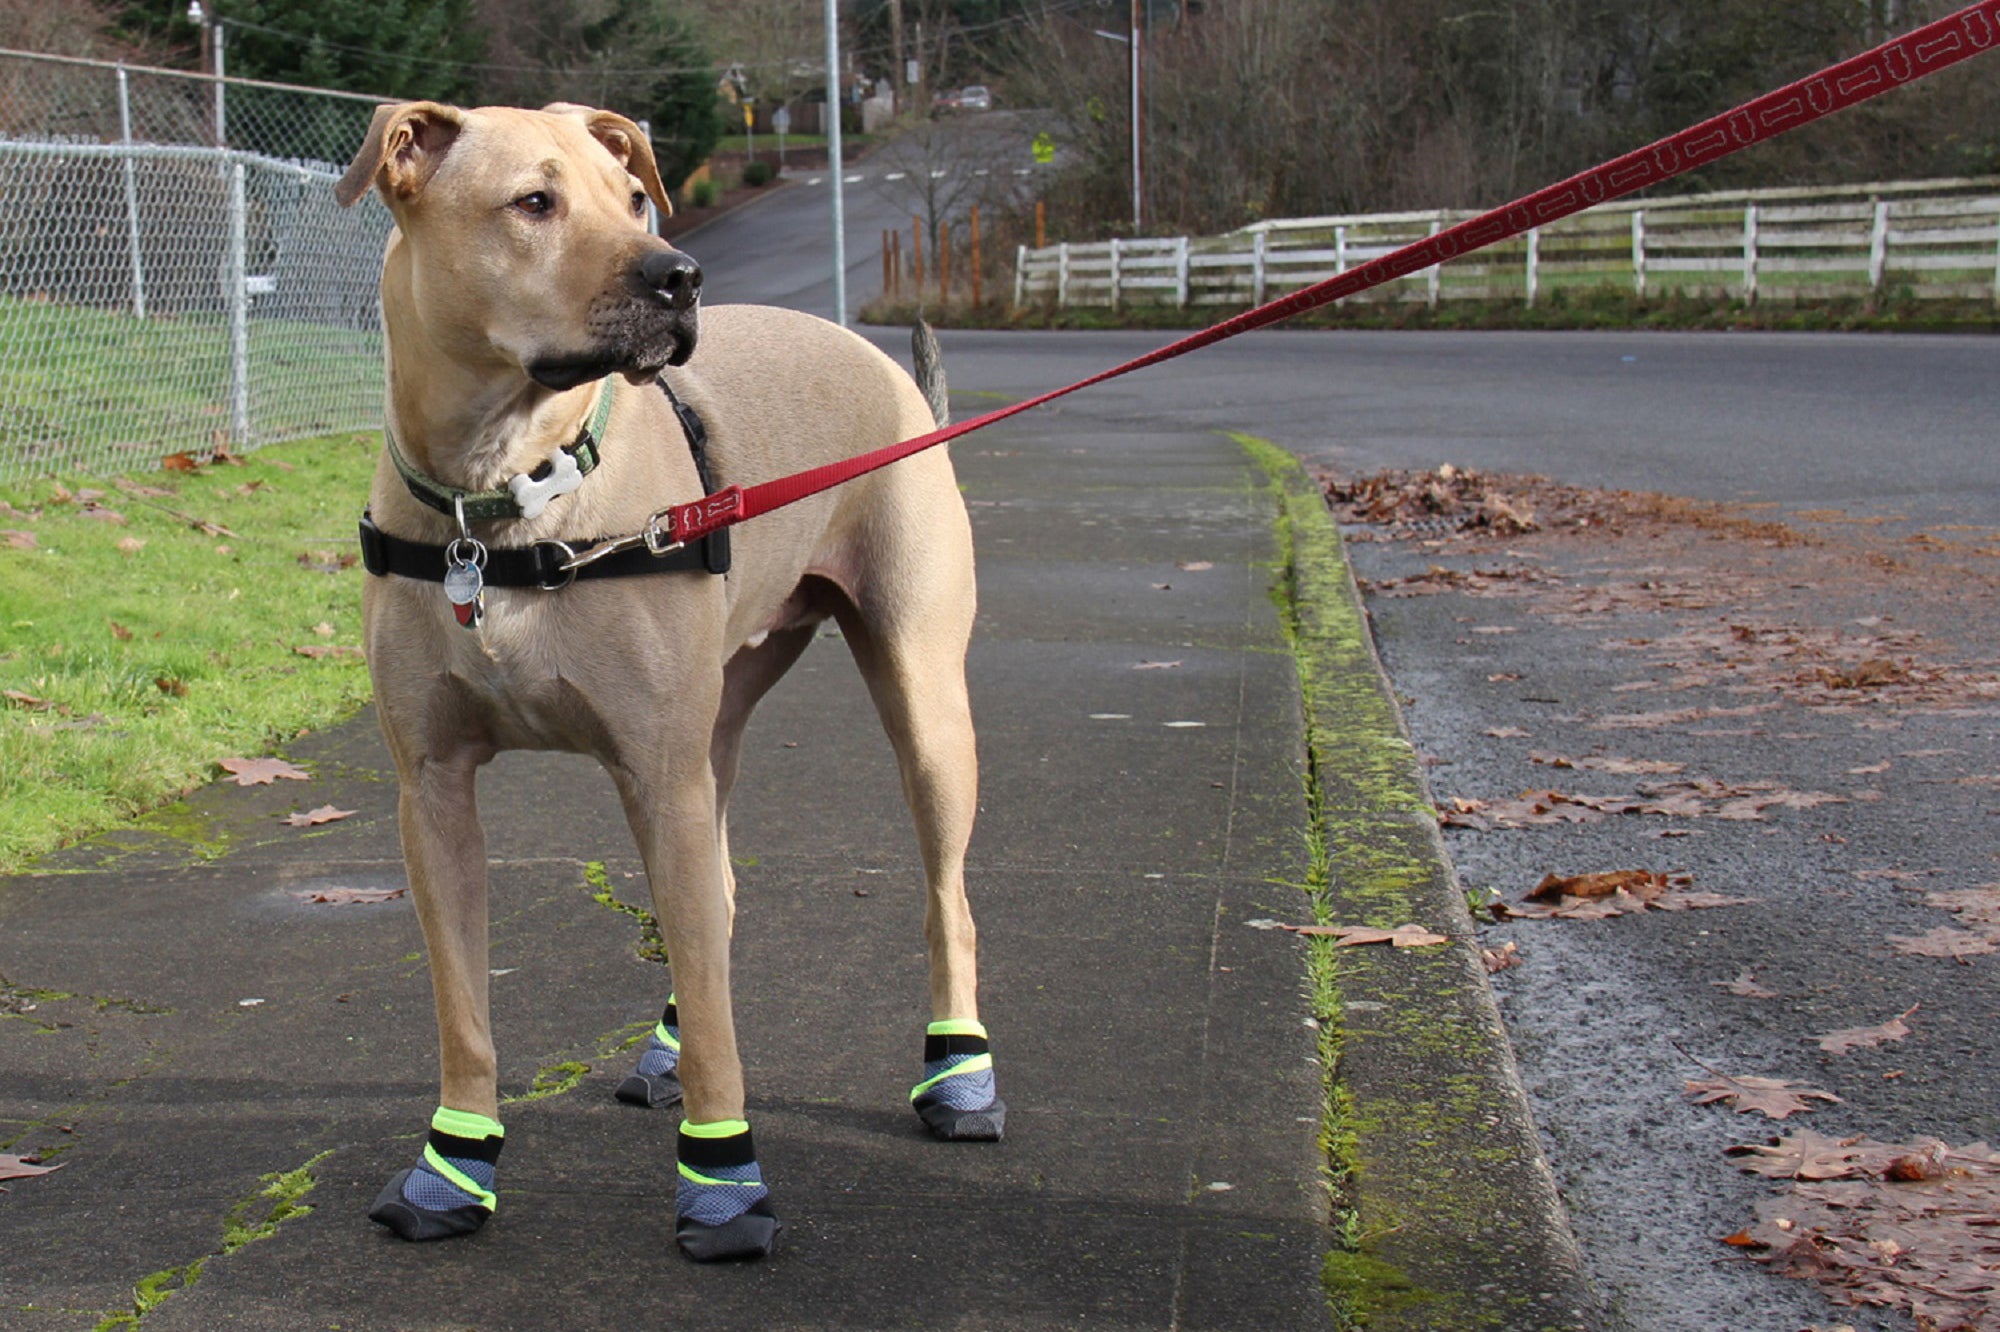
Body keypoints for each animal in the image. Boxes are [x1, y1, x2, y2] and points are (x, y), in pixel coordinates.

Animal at [338, 101, 1008, 1256]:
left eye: (634, 197)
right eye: (534, 202)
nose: (680, 276)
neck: (503, 498)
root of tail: (887, 369)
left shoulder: (658, 774)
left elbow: (718, 1024)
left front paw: (723, 1182)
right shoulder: (433, 793)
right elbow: (464, 1011)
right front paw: (451, 1167)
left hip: (919, 703)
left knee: (944, 899)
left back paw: (959, 1072)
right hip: (717, 728)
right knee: (723, 891)